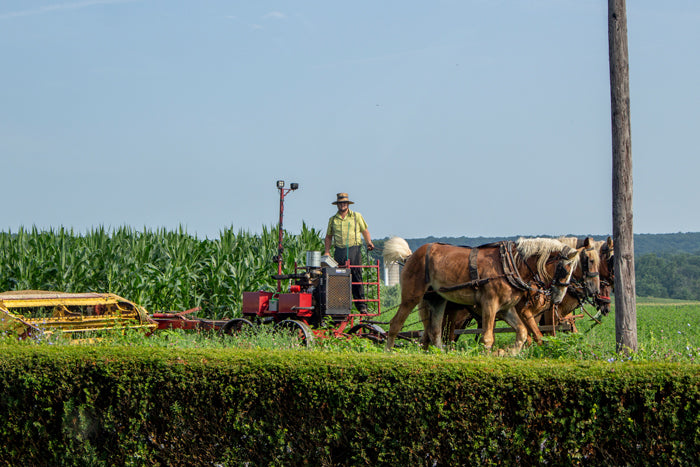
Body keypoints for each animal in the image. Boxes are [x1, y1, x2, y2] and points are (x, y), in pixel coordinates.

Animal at [382, 238, 596, 354]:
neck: (511, 264)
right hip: (412, 296)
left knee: (434, 332)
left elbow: (522, 333)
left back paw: (441, 353)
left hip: (437, 300)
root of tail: (410, 256)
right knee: (396, 324)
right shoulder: (490, 305)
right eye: (565, 269)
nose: (558, 298)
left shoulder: (507, 308)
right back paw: (389, 351)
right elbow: (488, 338)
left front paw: (507, 352)